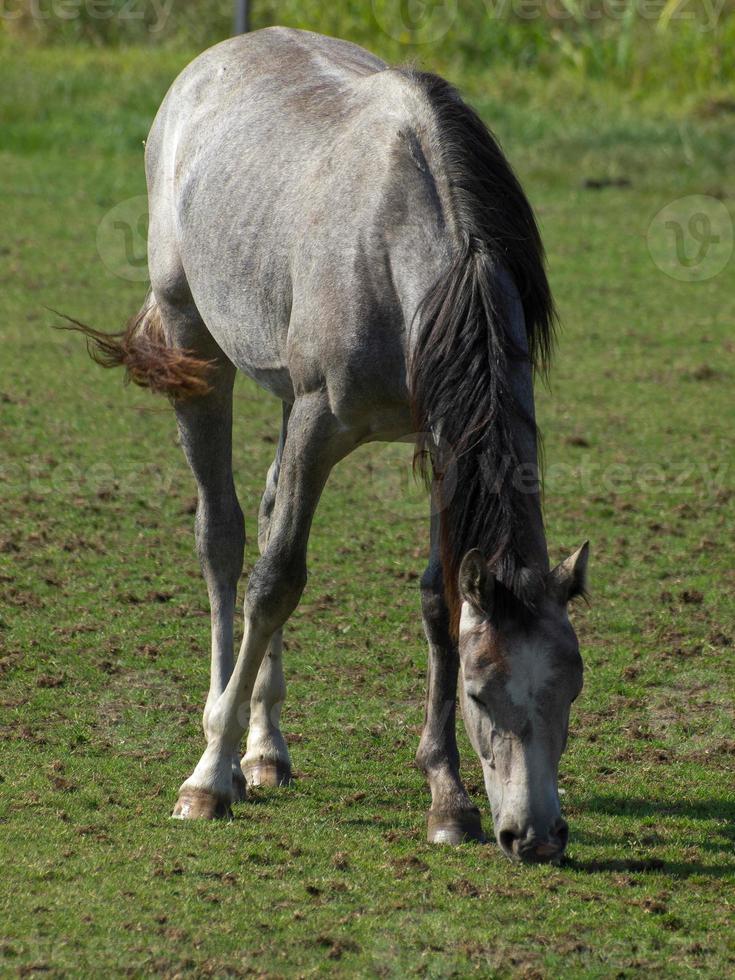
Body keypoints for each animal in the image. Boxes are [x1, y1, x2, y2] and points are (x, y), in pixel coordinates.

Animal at [67, 26, 592, 860]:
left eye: (571, 686)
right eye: (482, 693)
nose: (535, 835)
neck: (403, 255)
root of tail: (214, 59)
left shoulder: (440, 442)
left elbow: (438, 598)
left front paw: (446, 797)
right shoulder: (320, 422)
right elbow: (276, 579)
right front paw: (206, 780)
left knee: (266, 510)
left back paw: (265, 750)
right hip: (197, 349)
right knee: (225, 539)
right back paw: (222, 741)